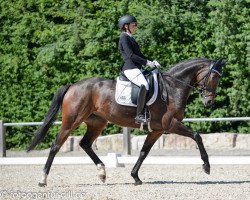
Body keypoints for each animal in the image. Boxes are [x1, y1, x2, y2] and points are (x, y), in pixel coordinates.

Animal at [27, 57, 227, 186]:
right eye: (215, 77)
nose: (209, 102)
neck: (173, 87)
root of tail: (73, 85)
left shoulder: (157, 130)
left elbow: (144, 152)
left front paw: (135, 177)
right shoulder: (170, 124)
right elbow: (197, 135)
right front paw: (206, 166)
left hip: (97, 123)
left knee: (85, 144)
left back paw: (102, 173)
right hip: (72, 121)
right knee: (56, 145)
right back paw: (42, 180)